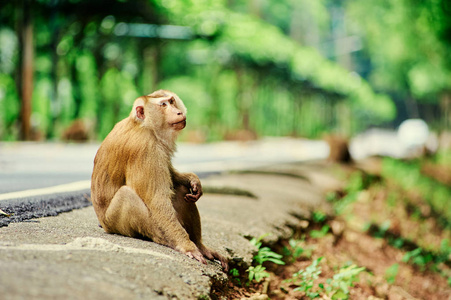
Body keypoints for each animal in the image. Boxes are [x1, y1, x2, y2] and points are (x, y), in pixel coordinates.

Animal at [91, 89, 230, 270]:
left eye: (171, 101)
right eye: (163, 105)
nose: (178, 112)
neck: (143, 125)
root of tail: (103, 224)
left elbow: (171, 176)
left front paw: (192, 179)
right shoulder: (145, 149)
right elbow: (157, 201)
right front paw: (186, 246)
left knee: (180, 191)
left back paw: (200, 245)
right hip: (114, 223)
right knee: (127, 196)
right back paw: (166, 239)